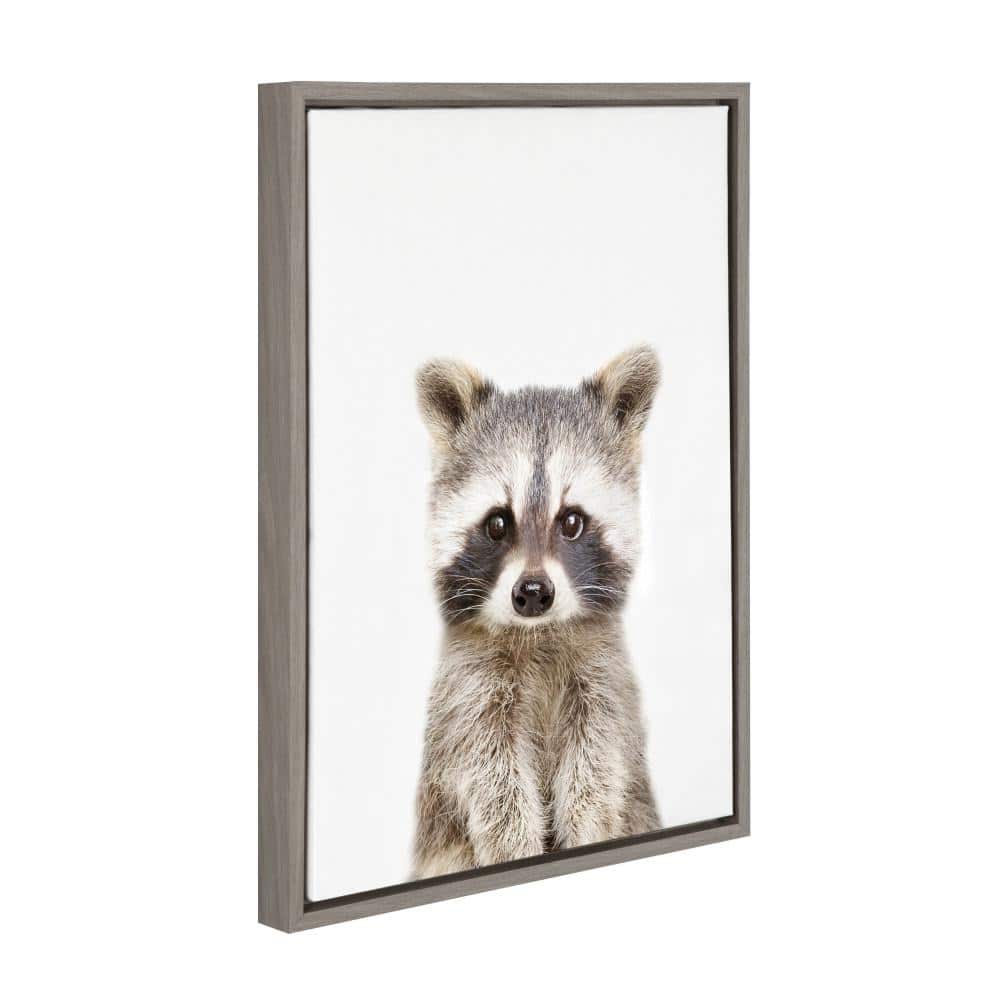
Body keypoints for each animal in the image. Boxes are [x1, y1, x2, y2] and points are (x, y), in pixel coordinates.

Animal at [411, 345, 662, 879]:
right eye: (497, 523)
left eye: (571, 521)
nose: (531, 593)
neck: (539, 632)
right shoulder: (469, 691)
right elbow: (493, 780)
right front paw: (514, 848)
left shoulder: (603, 679)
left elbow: (597, 768)